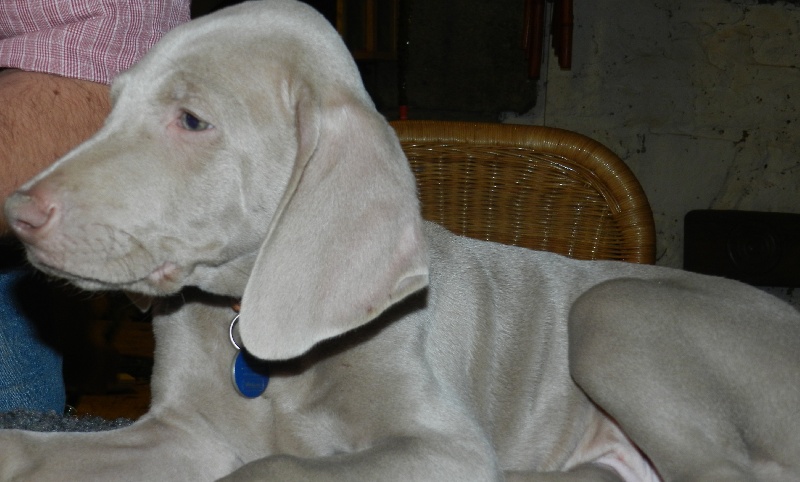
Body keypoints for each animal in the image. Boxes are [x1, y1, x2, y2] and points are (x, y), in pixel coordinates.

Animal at [3, 0, 799, 480]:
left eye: (193, 120)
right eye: (111, 105)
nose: (18, 210)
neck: (242, 323)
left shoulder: (444, 447)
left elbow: (272, 466)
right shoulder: (184, 432)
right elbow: (34, 448)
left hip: (615, 311)